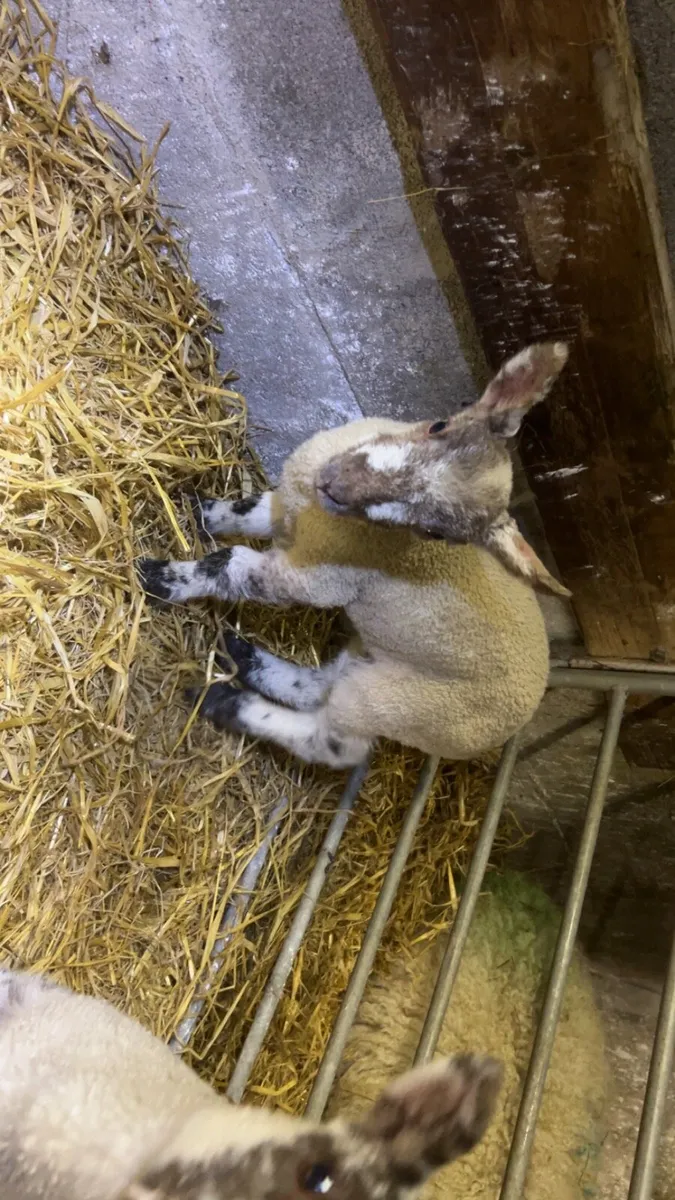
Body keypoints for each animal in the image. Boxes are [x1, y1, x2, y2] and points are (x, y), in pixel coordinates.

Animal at [139, 342, 570, 769]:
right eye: (438, 425)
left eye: (435, 532)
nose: (337, 484)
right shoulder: (289, 509)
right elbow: (247, 511)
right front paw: (200, 510)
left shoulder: (312, 581)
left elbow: (228, 564)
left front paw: (161, 580)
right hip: (377, 658)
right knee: (322, 684)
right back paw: (244, 657)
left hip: (402, 705)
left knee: (332, 743)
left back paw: (225, 701)